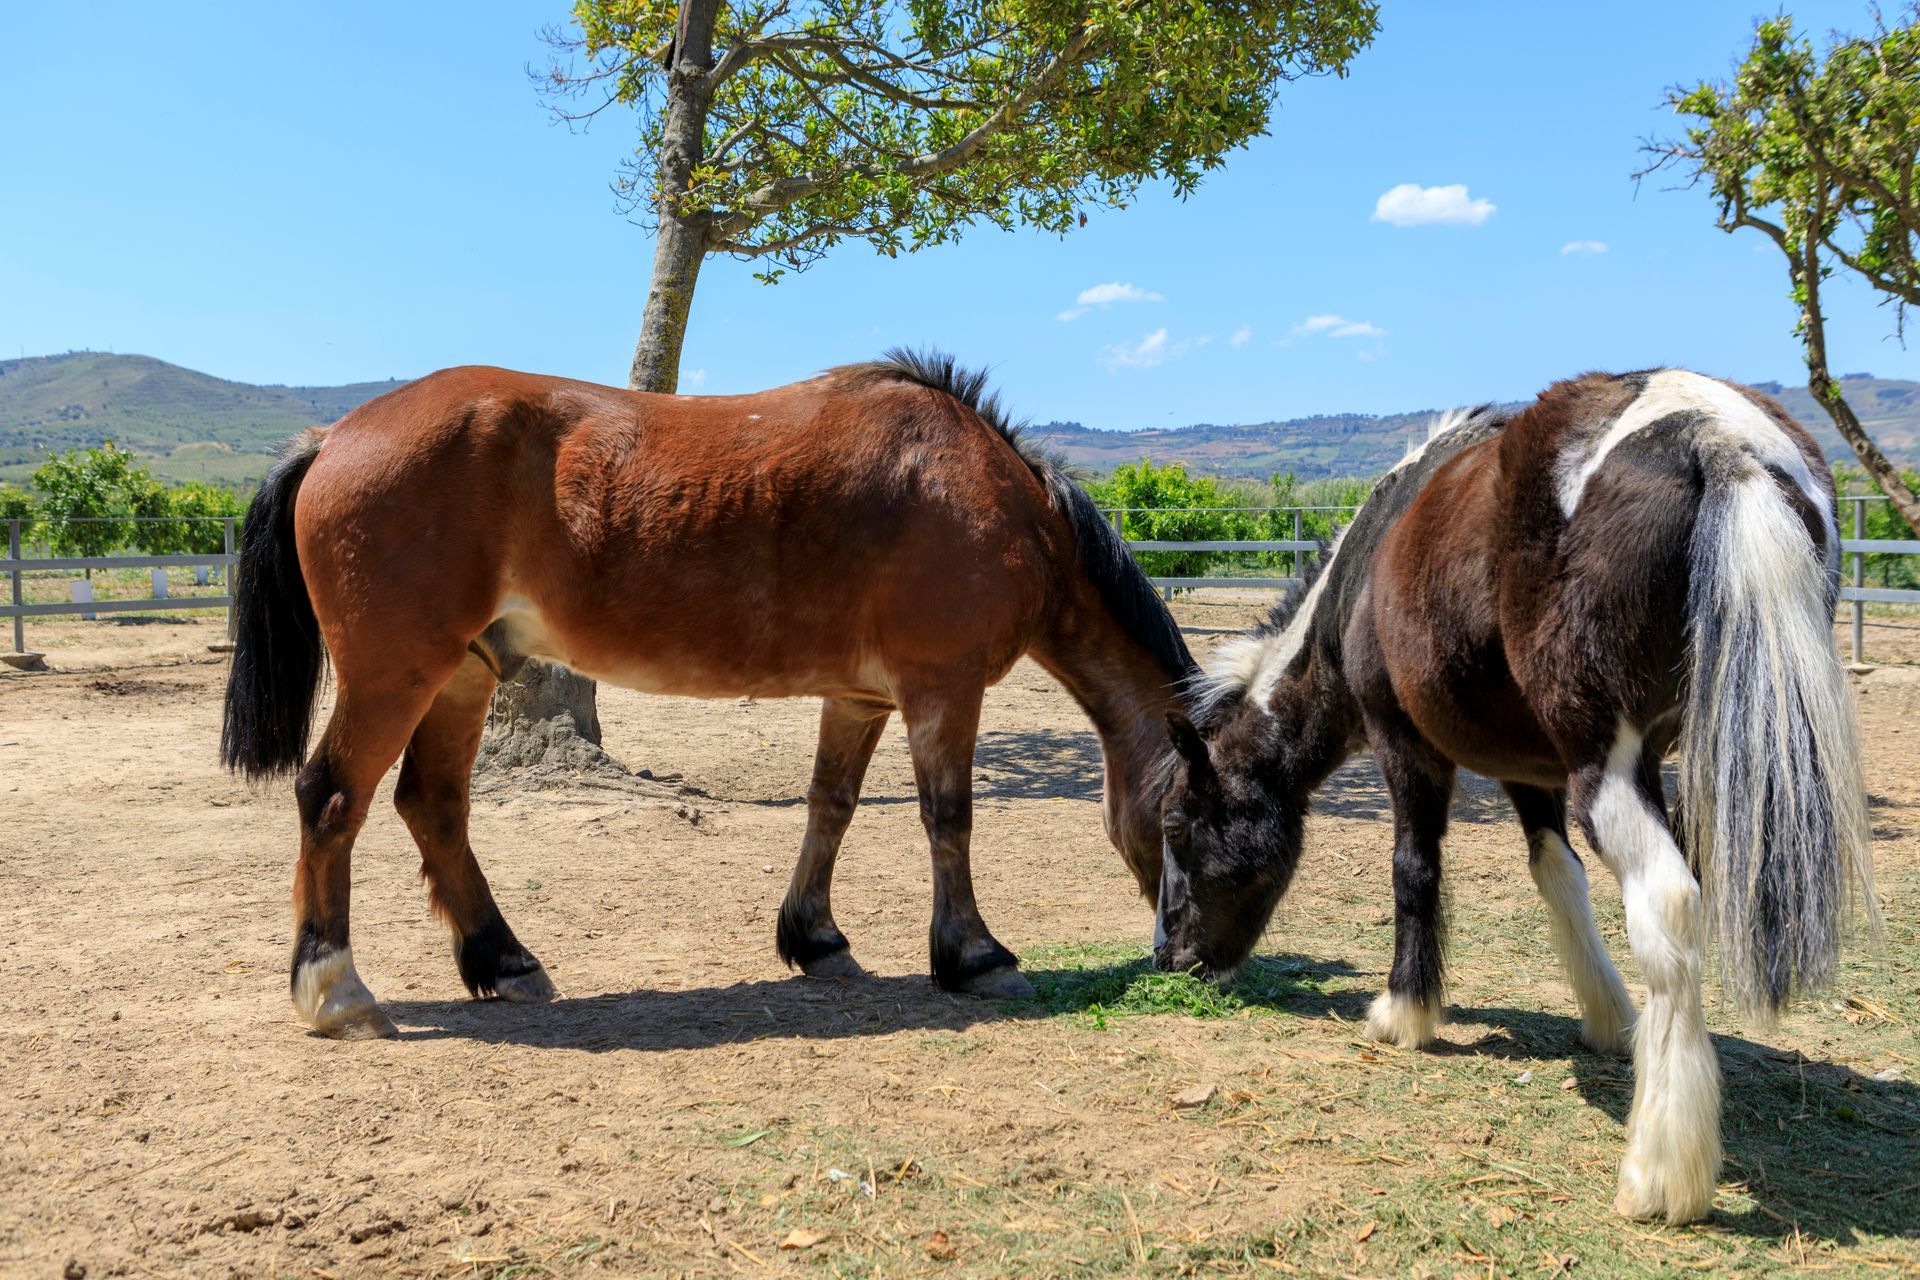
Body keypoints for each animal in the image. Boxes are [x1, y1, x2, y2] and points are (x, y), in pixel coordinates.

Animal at [221, 350, 1197, 1040]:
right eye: (1197, 815)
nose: (1198, 959)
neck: (984, 491)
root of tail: (335, 436)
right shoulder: (941, 688)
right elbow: (949, 818)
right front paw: (975, 956)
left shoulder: (862, 699)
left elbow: (831, 806)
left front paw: (817, 940)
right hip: (398, 673)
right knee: (332, 797)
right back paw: (337, 992)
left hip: (462, 675)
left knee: (434, 806)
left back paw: (505, 961)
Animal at [1150, 369, 1877, 1225]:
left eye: (1176, 824)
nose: (1170, 956)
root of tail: (1714, 435)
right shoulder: (1530, 772)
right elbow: (1557, 877)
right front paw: (1607, 1017)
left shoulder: (1408, 748)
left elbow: (1414, 871)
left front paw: (1405, 1011)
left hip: (1612, 766)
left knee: (1668, 906)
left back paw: (1662, 1172)